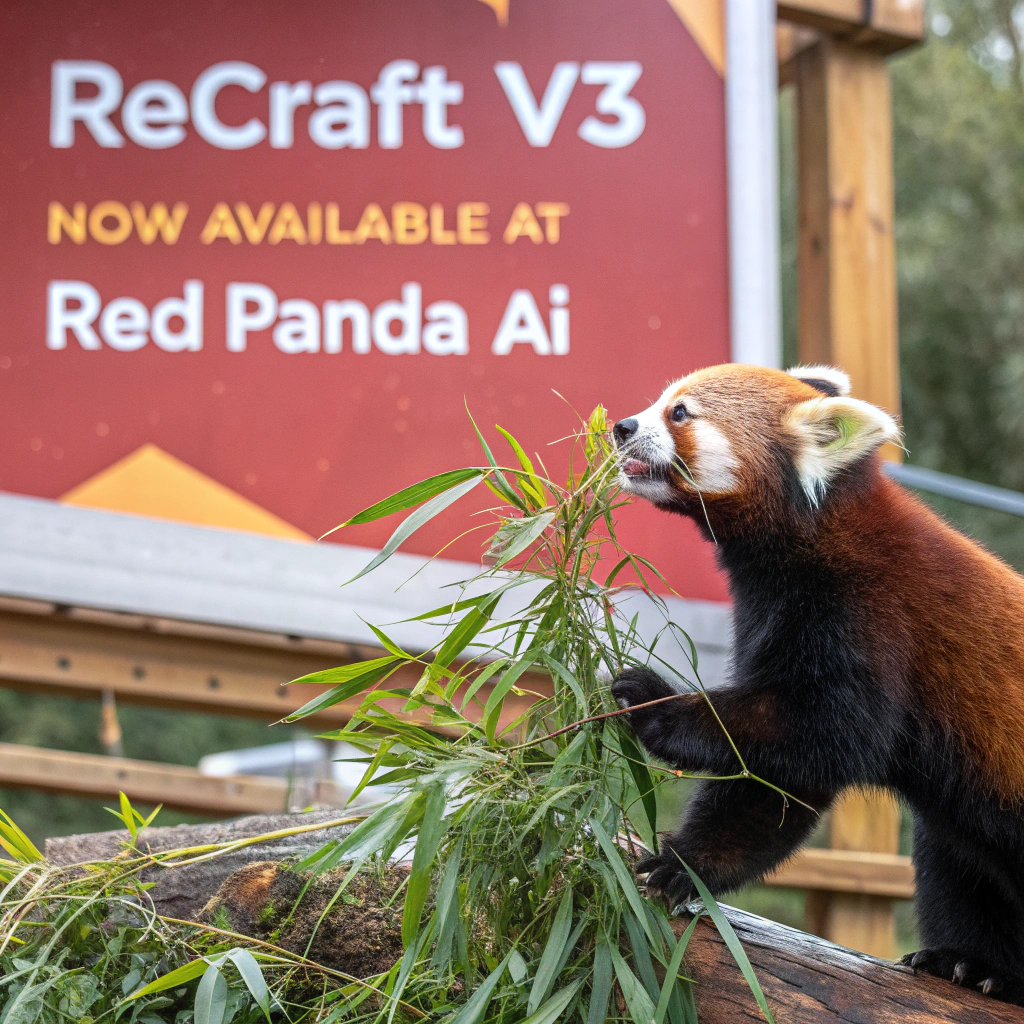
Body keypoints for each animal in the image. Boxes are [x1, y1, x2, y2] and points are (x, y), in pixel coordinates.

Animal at [610, 362, 1024, 1005]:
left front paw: (655, 703)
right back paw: (973, 963)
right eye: (658, 400)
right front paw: (681, 867)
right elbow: (775, 787)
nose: (622, 426)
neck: (813, 540)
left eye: (680, 412)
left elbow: (827, 734)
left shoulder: (870, 617)